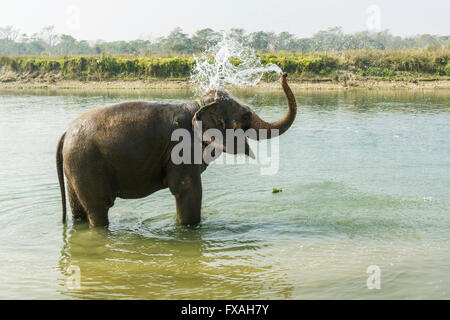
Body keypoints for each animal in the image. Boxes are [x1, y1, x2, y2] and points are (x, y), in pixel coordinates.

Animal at [56, 73, 298, 228]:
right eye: (246, 115)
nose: (284, 73)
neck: (197, 104)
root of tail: (65, 133)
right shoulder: (182, 149)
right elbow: (188, 190)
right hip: (86, 164)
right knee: (99, 209)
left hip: (75, 167)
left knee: (78, 209)